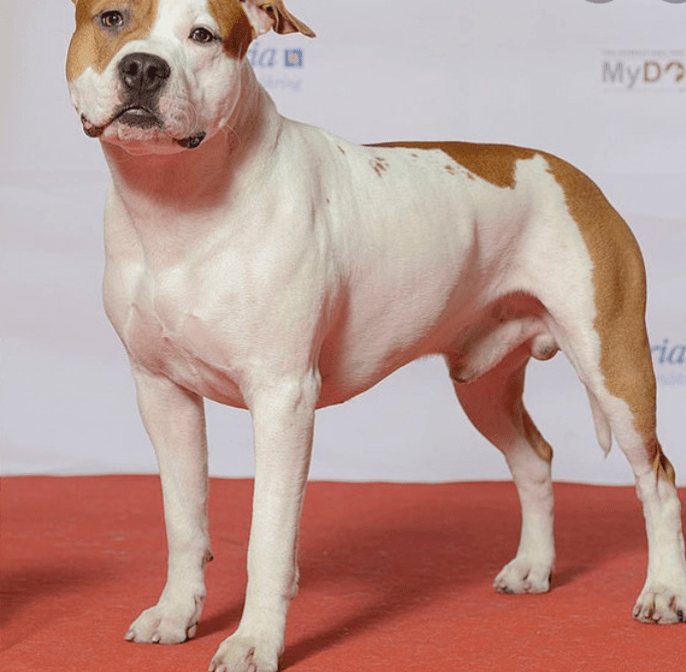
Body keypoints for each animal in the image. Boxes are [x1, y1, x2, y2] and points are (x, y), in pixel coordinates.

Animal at [66, 1, 686, 670]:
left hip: (615, 366)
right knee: (535, 460)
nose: (143, 68)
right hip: (484, 385)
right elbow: (184, 521)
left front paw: (255, 641)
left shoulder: (282, 399)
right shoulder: (162, 392)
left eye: (203, 35)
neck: (176, 203)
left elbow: (268, 538)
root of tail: (573, 175)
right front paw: (176, 615)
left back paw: (662, 591)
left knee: (657, 480)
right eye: (111, 18)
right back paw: (533, 567)